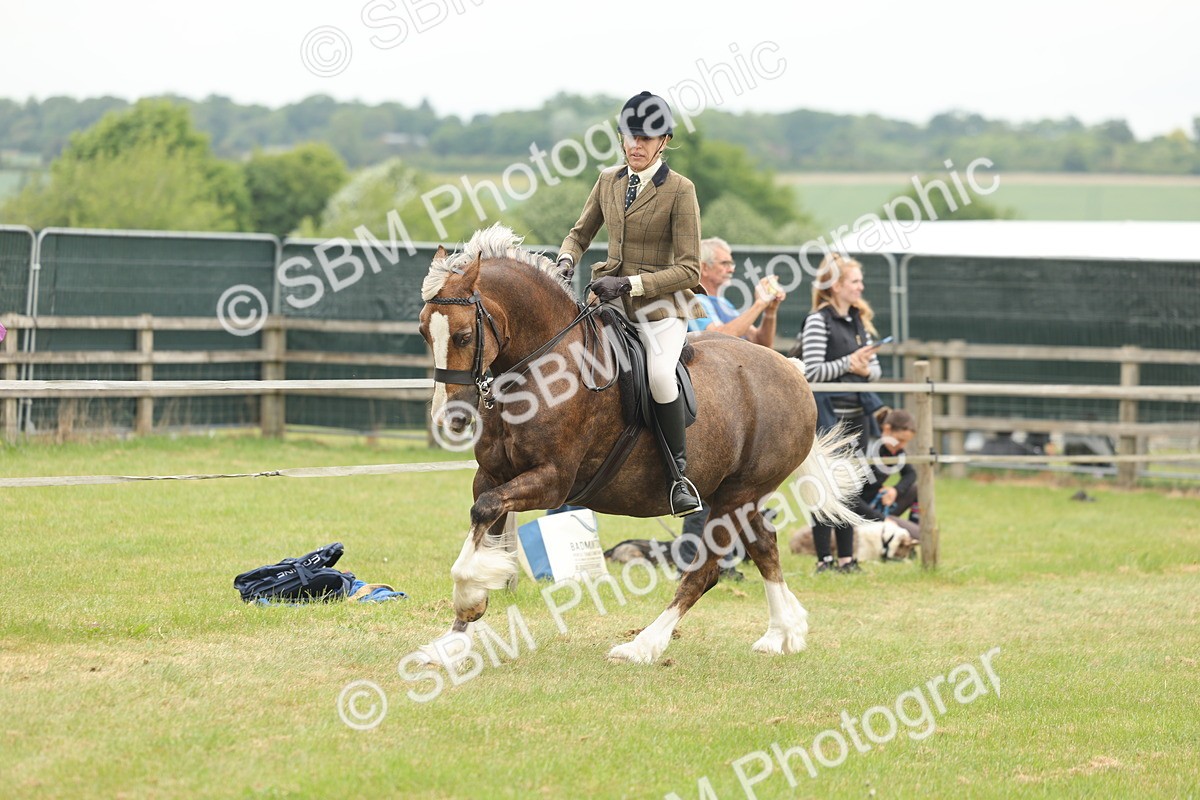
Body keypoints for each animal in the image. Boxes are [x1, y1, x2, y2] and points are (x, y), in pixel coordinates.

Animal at [415, 225, 863, 665]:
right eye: (424, 332)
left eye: (463, 336)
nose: (450, 417)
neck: (544, 369)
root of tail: (792, 370)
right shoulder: (491, 475)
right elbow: (483, 522)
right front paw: (452, 642)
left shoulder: (552, 481)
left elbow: (483, 515)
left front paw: (468, 601)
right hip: (737, 496)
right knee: (765, 547)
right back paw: (782, 632)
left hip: (738, 495)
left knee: (704, 571)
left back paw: (643, 645)